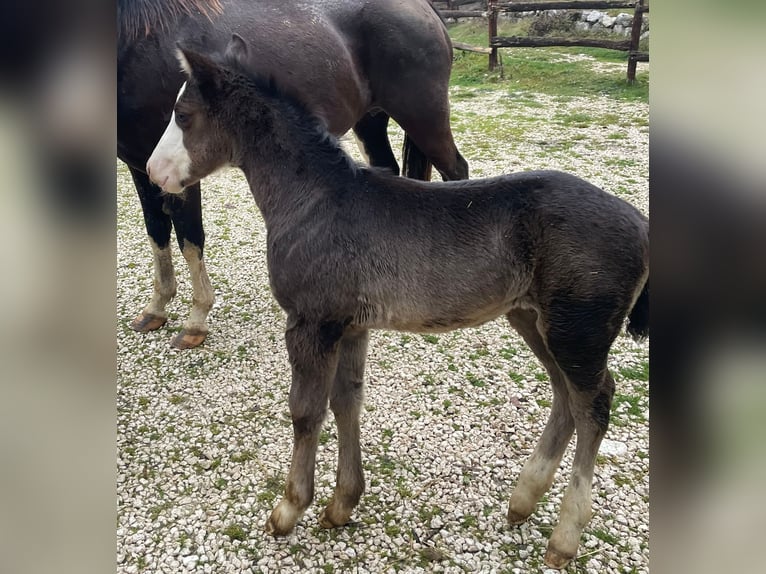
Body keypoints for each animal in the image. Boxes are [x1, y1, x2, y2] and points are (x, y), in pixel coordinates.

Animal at [118, 0, 469, 349]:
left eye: (182, 115)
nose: (156, 166)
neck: (138, 41)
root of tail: (425, 9)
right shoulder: (140, 167)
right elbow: (156, 233)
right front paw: (155, 309)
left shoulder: (178, 178)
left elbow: (190, 241)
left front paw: (195, 322)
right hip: (371, 121)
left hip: (425, 119)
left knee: (457, 171)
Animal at [146, 39, 649, 569]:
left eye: (183, 115)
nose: (153, 172)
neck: (315, 200)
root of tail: (640, 223)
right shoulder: (350, 325)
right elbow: (346, 401)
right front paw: (342, 504)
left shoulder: (311, 321)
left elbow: (306, 410)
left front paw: (289, 510)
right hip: (535, 320)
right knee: (565, 395)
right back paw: (524, 499)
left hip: (578, 330)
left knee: (594, 403)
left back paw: (564, 536)